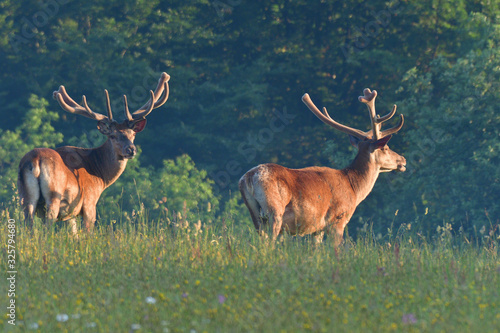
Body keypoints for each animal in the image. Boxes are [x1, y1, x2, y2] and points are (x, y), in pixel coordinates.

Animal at [17, 72, 171, 233]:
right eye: (113, 136)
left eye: (133, 134)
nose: (131, 150)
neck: (99, 175)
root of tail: (35, 159)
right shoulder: (89, 202)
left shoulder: (70, 214)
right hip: (53, 195)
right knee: (47, 227)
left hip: (26, 197)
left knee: (28, 226)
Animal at [238, 88, 406, 244]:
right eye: (385, 148)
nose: (403, 160)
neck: (353, 189)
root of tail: (248, 178)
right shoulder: (338, 219)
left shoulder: (316, 229)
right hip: (274, 211)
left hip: (255, 215)